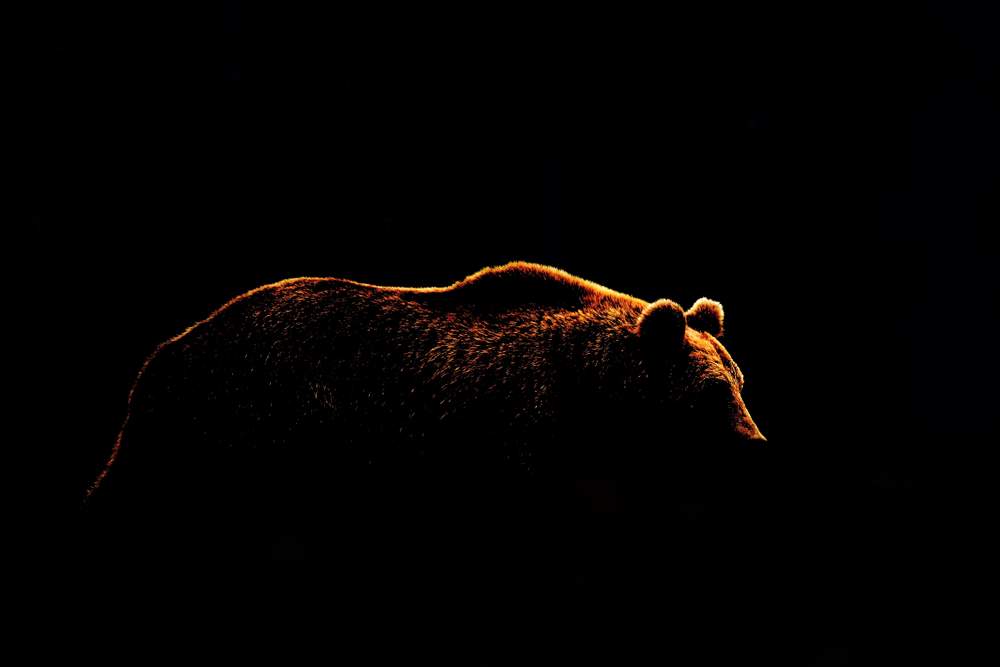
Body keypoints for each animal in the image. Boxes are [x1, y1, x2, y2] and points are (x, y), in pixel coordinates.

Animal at [85, 261, 765, 568]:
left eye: (739, 380)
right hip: (247, 424)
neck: (590, 393)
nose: (755, 443)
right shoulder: (508, 433)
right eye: (712, 392)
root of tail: (164, 353)